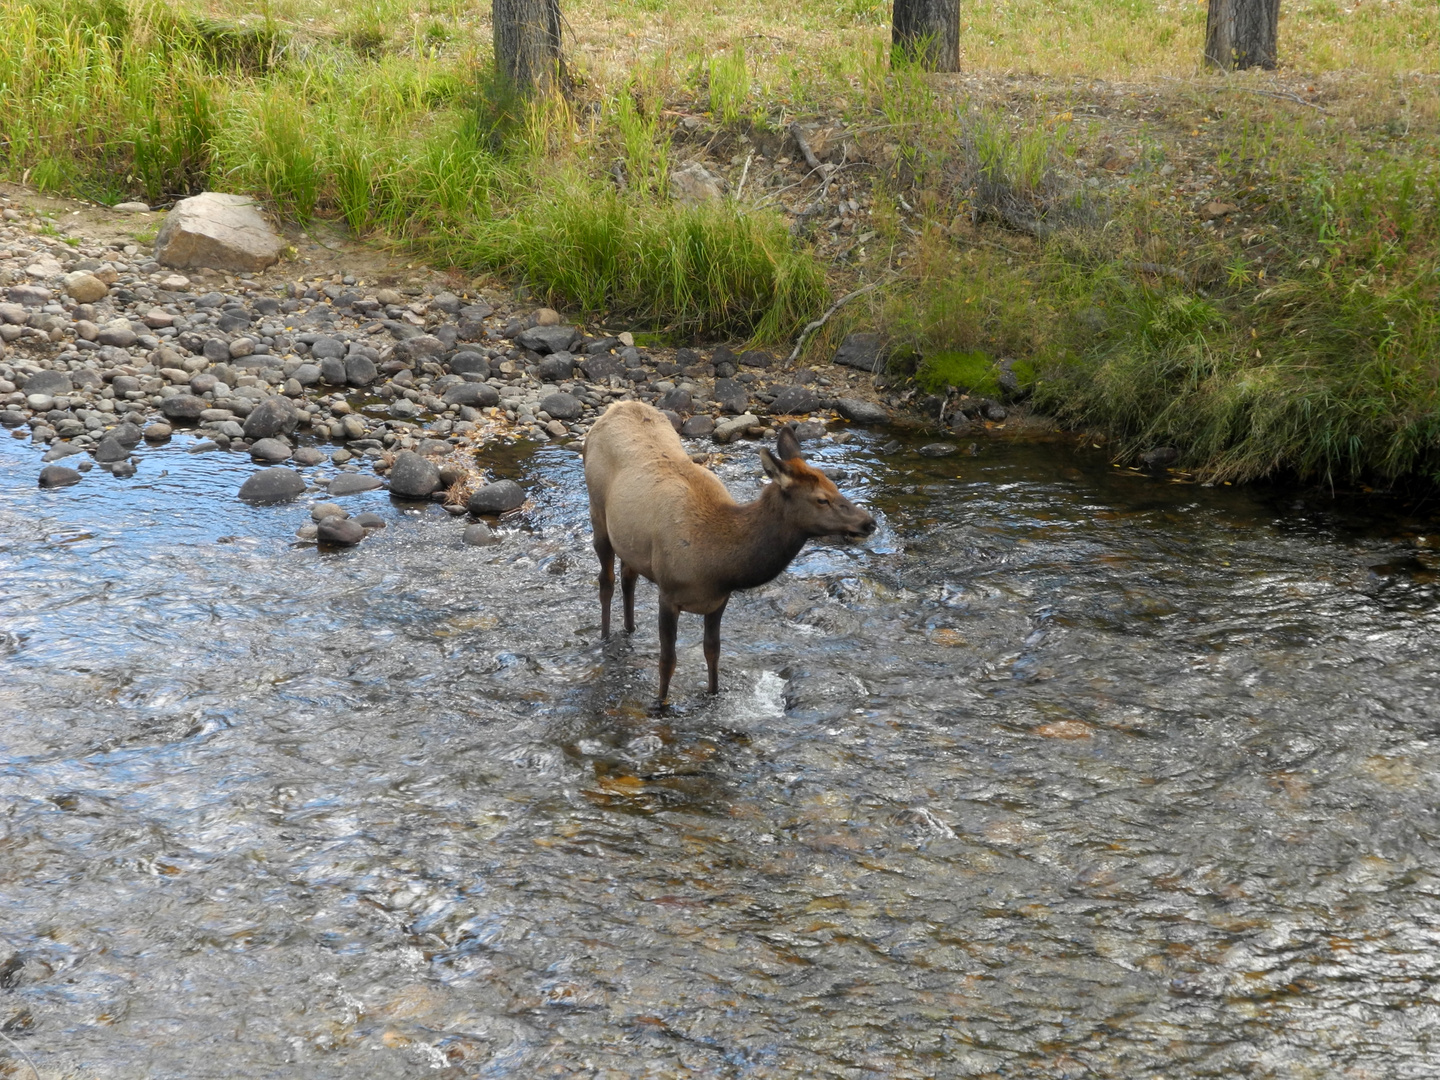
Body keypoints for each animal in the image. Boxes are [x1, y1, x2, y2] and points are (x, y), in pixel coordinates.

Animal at [581, 403, 875, 702]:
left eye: (835, 486)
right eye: (821, 499)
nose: (868, 522)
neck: (717, 566)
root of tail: (618, 406)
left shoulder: (720, 600)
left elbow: (712, 650)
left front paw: (713, 693)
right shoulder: (668, 594)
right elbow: (668, 660)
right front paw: (660, 703)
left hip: (630, 541)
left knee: (628, 575)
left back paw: (630, 628)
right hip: (597, 511)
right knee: (606, 581)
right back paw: (605, 636)